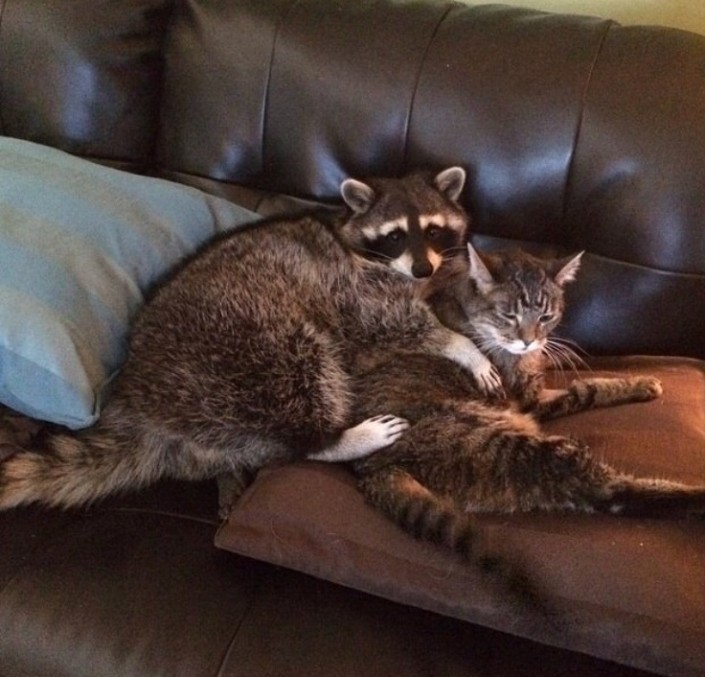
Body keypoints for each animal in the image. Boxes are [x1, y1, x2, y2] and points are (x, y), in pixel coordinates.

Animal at [0, 168, 500, 513]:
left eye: (432, 229)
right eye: (395, 235)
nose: (423, 268)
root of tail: (139, 402)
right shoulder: (354, 289)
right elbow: (390, 321)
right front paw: (461, 346)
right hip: (244, 345)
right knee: (303, 368)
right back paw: (331, 438)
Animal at [350, 244, 705, 574]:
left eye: (546, 317)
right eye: (509, 315)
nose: (529, 341)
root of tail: (371, 468)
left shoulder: (536, 396)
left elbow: (586, 387)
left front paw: (641, 383)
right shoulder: (530, 398)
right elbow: (586, 389)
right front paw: (640, 382)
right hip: (516, 446)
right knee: (611, 493)